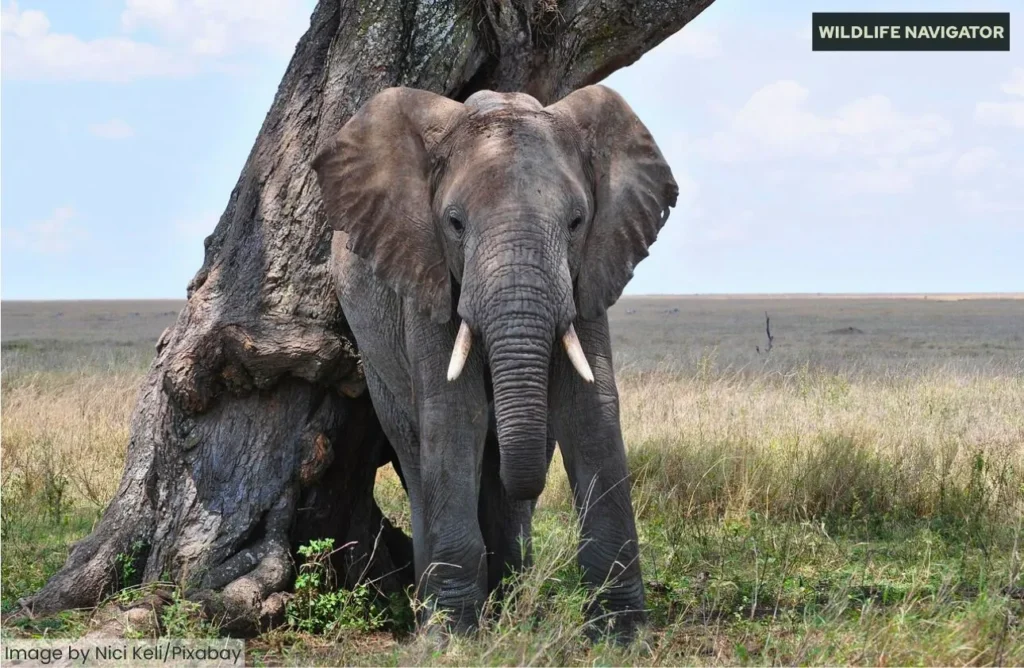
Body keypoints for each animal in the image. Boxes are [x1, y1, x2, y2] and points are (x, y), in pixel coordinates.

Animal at [311, 84, 678, 640]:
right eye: (454, 223)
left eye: (576, 222)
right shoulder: (425, 276)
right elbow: (452, 416)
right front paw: (450, 639)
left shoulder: (589, 275)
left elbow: (591, 411)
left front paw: (622, 637)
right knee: (415, 449)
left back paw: (506, 604)